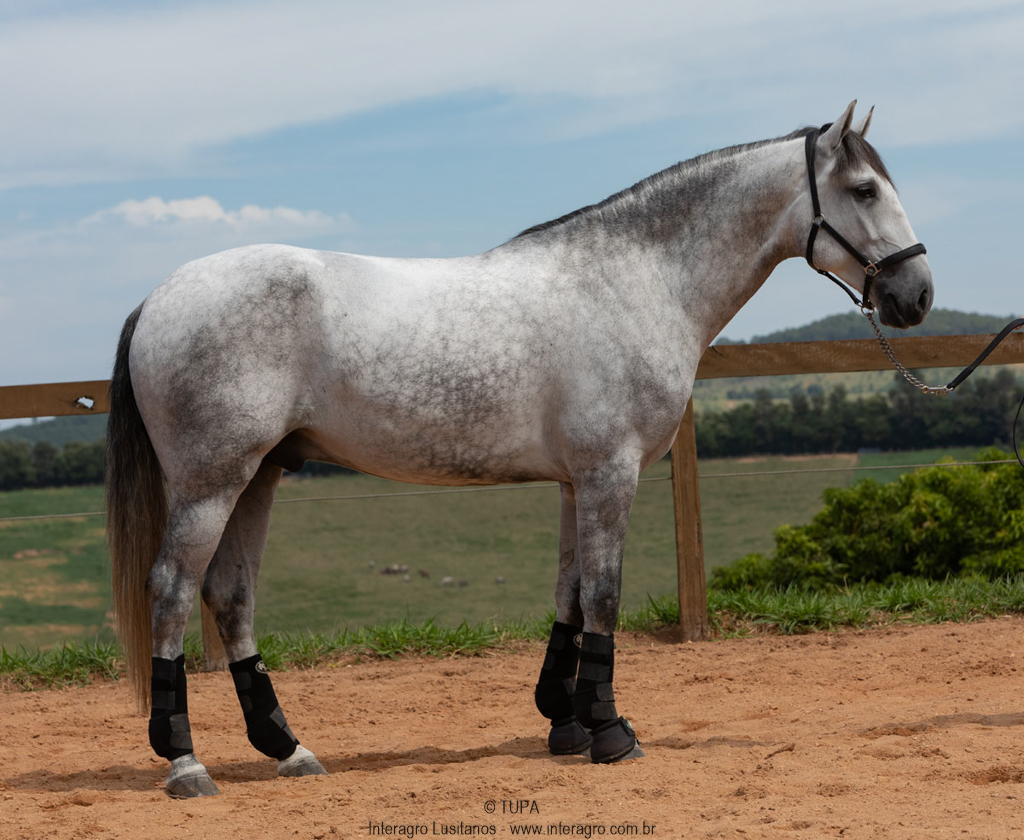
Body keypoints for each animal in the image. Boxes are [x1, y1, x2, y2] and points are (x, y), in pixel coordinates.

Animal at [105, 101, 933, 797]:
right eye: (863, 189)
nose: (917, 295)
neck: (636, 280)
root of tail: (158, 297)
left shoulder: (576, 481)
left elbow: (570, 592)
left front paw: (565, 722)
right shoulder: (609, 474)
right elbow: (604, 594)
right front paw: (610, 731)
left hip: (260, 477)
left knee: (230, 595)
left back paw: (288, 748)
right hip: (212, 483)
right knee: (173, 591)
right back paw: (185, 762)